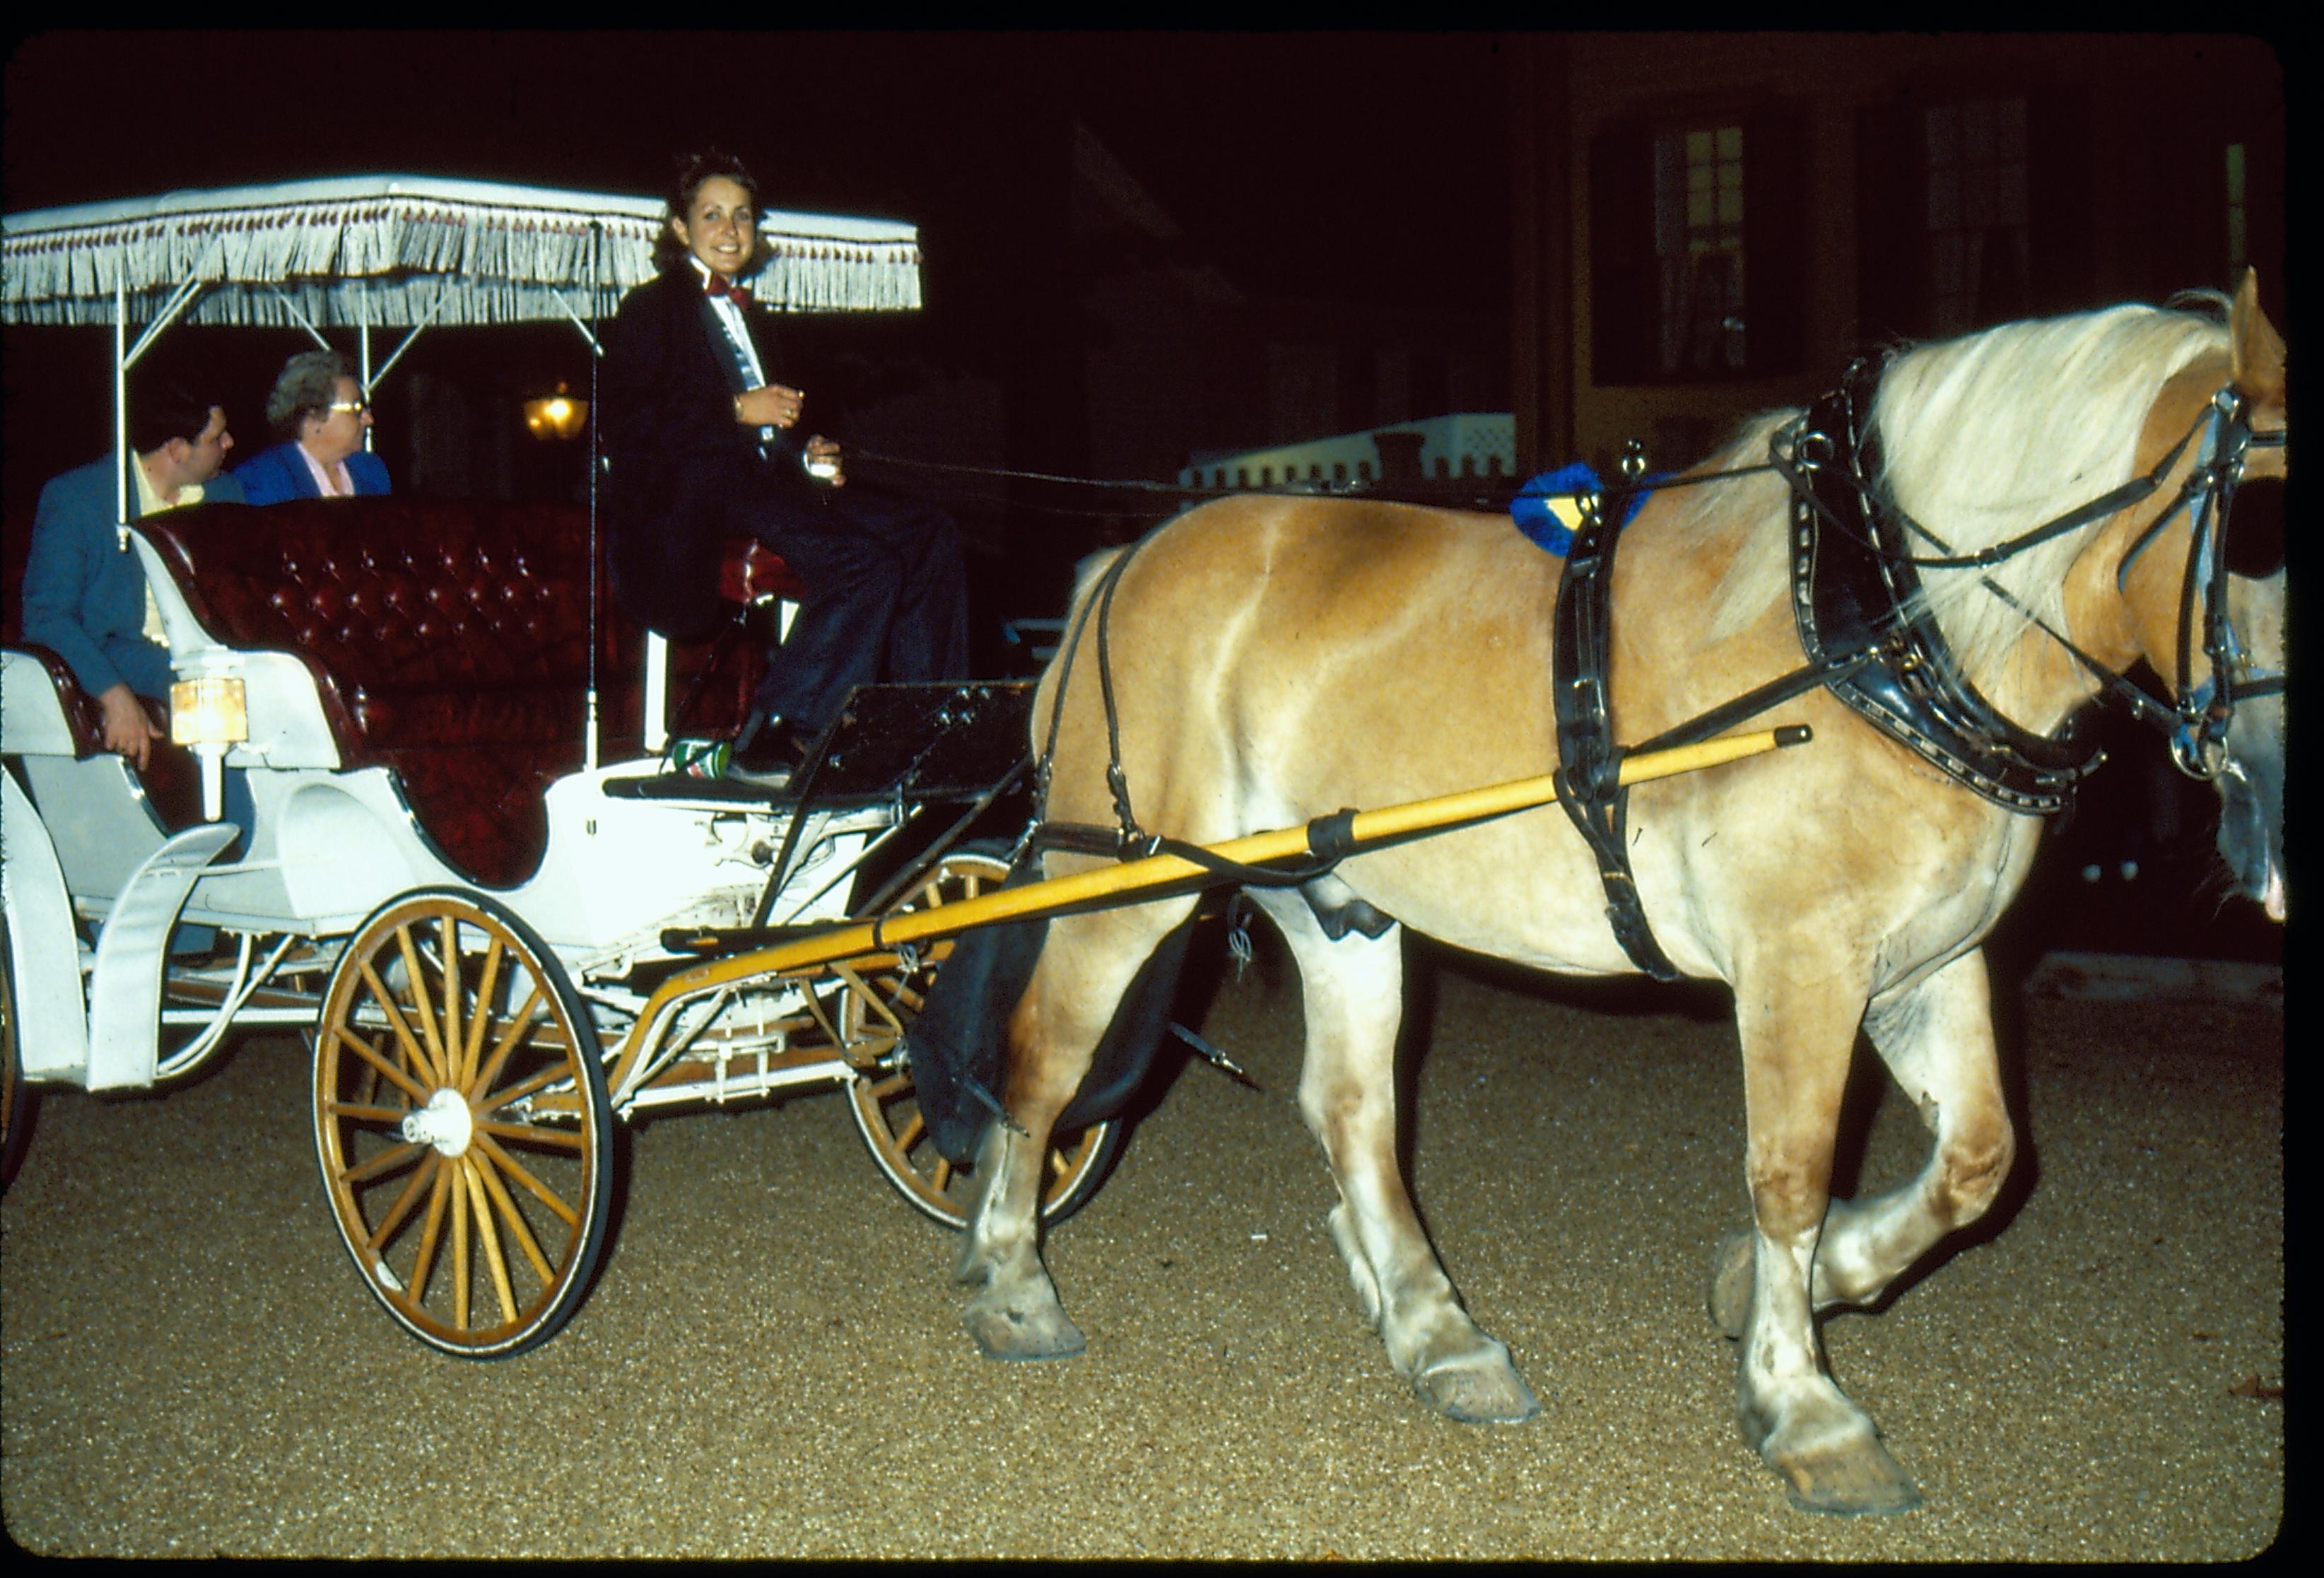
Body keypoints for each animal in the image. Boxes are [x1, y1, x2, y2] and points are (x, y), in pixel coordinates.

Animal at [948, 274, 2287, 1515]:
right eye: (2265, 533)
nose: (2276, 834)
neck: (1876, 626)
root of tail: (1124, 560)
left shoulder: (1928, 961)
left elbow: (1976, 1160)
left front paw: (1789, 1285)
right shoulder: (1799, 963)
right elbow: (1789, 1172)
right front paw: (1804, 1404)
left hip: (1336, 896)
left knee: (1352, 1111)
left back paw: (1439, 1336)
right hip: (1120, 883)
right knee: (1044, 1057)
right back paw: (1013, 1283)